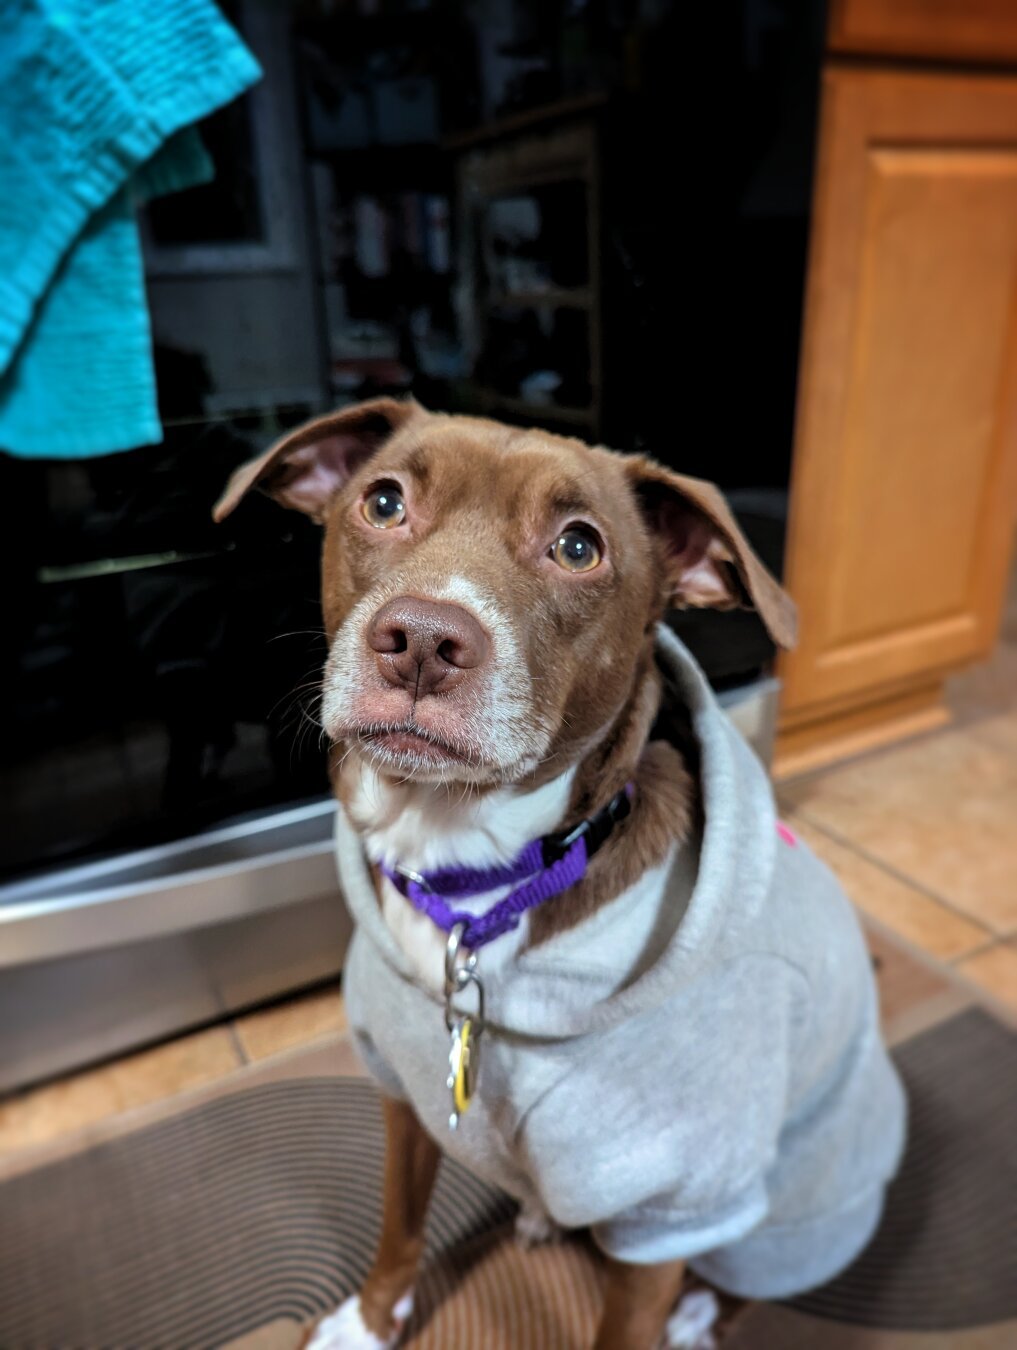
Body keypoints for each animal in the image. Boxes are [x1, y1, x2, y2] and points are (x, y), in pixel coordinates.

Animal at [216, 399, 880, 1350]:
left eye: (577, 547)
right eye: (382, 502)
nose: (421, 641)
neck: (468, 878)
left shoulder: (666, 1207)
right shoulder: (401, 1090)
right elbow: (399, 1222)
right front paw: (370, 1324)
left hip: (765, 1210)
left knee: (751, 1271)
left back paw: (697, 1312)